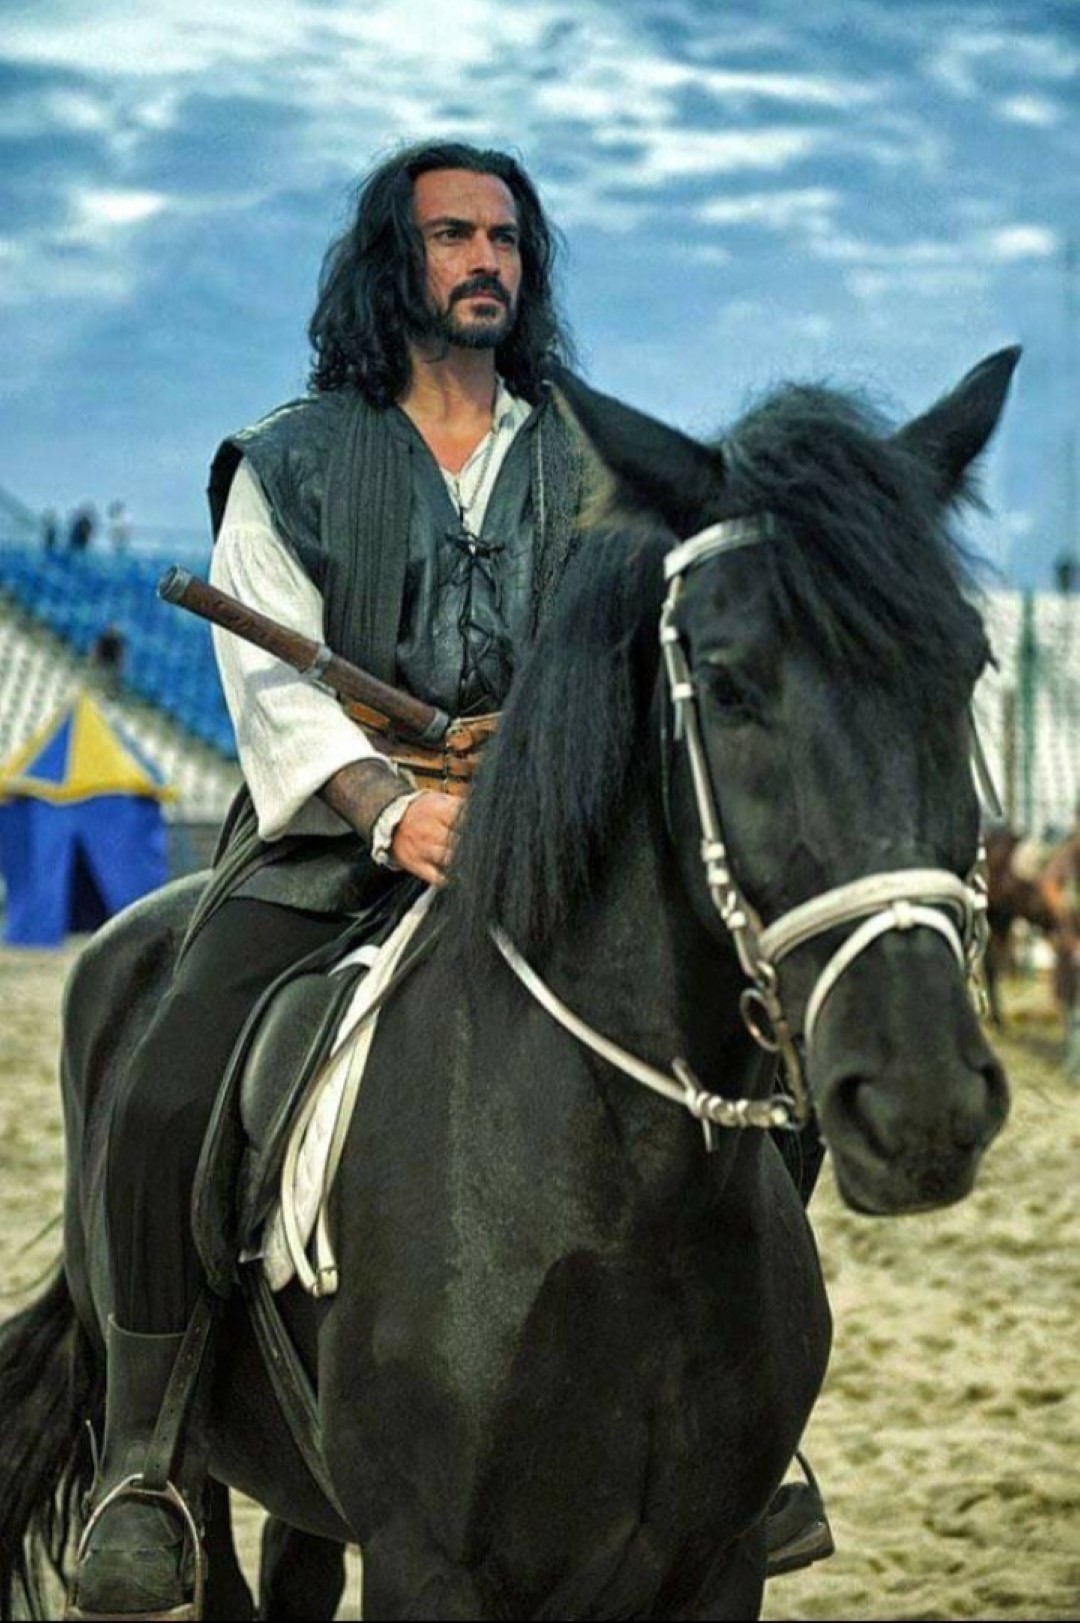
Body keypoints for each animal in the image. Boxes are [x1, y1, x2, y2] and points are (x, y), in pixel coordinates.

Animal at [0, 348, 1017, 1622]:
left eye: (966, 668)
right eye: (728, 684)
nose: (922, 1099)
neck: (627, 1200)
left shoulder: (719, 1562)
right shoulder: (428, 1563)